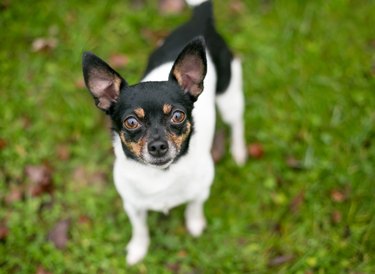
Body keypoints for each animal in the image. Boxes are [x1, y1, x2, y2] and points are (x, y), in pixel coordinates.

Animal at [81, 0, 247, 266]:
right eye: (131, 122)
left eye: (178, 116)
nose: (158, 146)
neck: (160, 175)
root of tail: (199, 20)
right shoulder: (133, 206)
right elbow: (140, 228)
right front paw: (138, 249)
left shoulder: (201, 192)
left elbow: (193, 208)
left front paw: (195, 225)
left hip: (229, 93)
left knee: (237, 121)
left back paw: (239, 152)